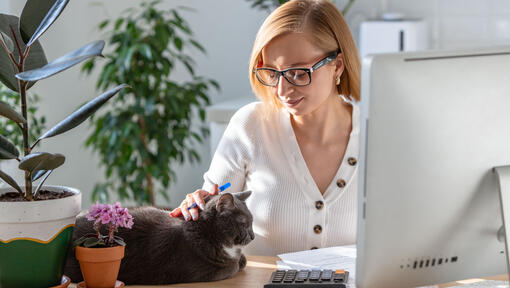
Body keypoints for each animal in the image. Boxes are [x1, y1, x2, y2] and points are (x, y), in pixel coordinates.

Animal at [64, 191, 255, 284]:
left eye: (252, 223)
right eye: (245, 223)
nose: (253, 236)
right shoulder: (204, 272)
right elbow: (233, 266)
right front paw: (238, 262)